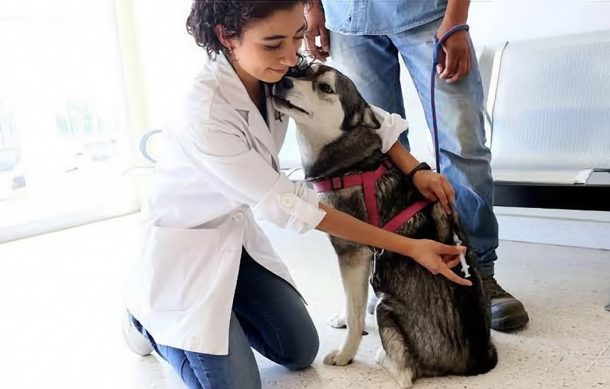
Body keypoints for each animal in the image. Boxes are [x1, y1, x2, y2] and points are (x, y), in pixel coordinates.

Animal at [270, 62, 494, 386]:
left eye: (325, 88)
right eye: (303, 71)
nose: (283, 81)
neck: (351, 164)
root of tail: (476, 362)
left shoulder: (352, 251)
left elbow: (355, 313)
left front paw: (345, 354)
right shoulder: (361, 258)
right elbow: (352, 302)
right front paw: (343, 318)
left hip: (387, 306)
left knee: (404, 373)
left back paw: (382, 357)